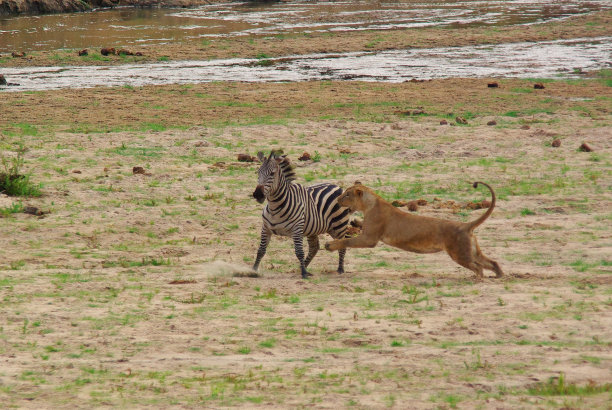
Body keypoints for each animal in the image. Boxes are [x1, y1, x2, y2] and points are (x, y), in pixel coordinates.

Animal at [326, 182, 502, 280]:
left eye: (347, 194)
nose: (337, 199)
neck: (369, 204)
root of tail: (466, 225)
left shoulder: (370, 238)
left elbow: (347, 240)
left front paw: (329, 245)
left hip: (460, 253)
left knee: (478, 267)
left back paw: (477, 279)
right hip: (470, 250)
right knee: (492, 262)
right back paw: (499, 277)